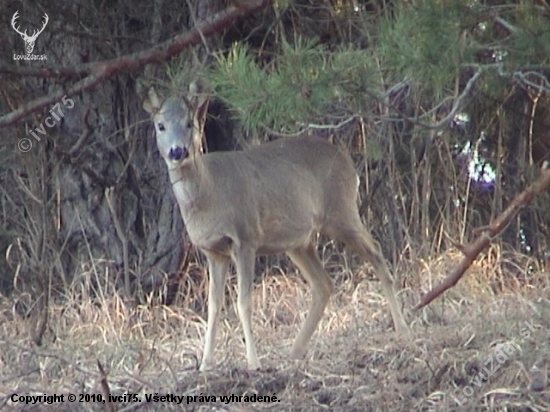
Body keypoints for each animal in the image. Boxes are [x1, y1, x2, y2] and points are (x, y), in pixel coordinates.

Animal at [142, 83, 410, 370]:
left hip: (341, 212)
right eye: (160, 125)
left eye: (189, 122)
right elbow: (213, 306)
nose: (177, 151)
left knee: (376, 252)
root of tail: (348, 161)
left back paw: (402, 330)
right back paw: (294, 351)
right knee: (324, 284)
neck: (209, 192)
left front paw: (253, 363)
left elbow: (243, 302)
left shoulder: (245, 238)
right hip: (298, 241)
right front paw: (205, 364)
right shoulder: (213, 251)